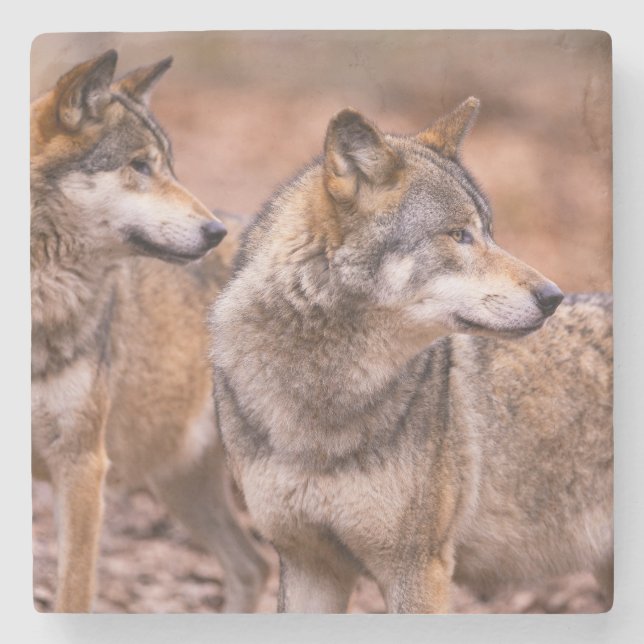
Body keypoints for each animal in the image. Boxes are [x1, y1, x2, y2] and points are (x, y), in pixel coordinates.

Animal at [31, 50, 267, 612]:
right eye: (140, 166)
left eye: (170, 165)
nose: (214, 231)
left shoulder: (81, 466)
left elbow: (74, 594)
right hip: (181, 486)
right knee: (252, 566)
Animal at [211, 99, 613, 613]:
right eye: (459, 235)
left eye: (489, 233)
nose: (552, 297)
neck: (319, 403)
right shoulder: (308, 565)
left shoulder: (417, 569)